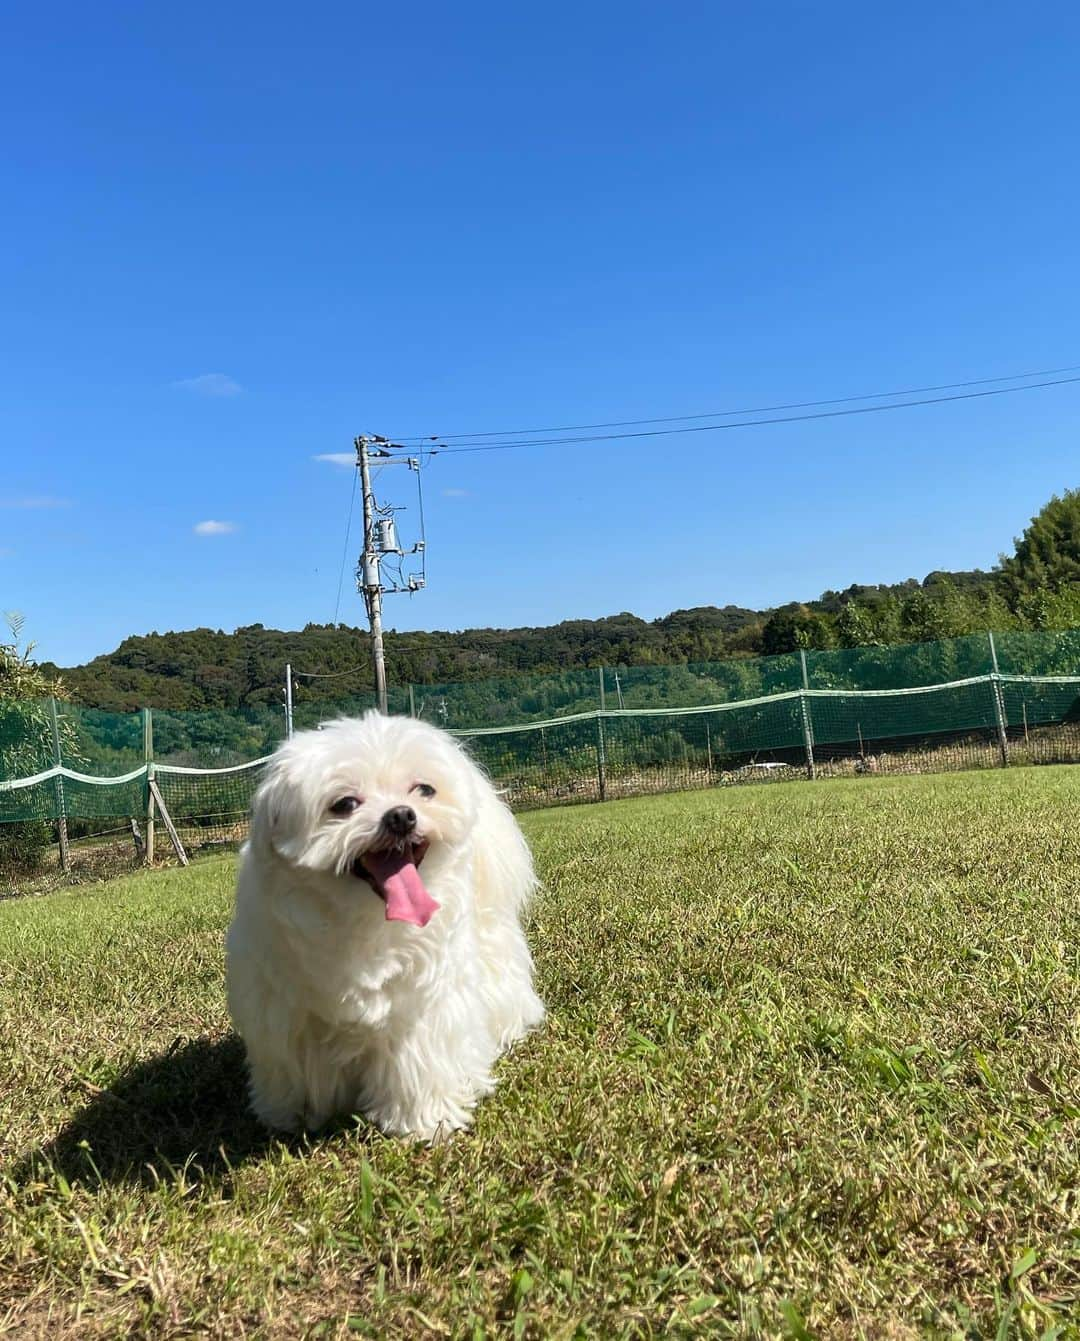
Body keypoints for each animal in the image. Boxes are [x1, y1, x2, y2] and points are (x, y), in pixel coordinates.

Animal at [228, 713, 547, 1142]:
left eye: (424, 789)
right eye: (344, 804)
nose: (400, 815)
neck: (367, 919)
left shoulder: (421, 1004)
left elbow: (417, 1057)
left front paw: (424, 1120)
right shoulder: (284, 1007)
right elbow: (296, 1062)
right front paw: (292, 1114)